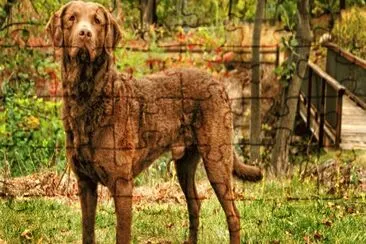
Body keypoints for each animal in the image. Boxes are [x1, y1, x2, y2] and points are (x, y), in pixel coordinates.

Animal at [46, 0, 264, 243]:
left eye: (97, 21)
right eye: (72, 18)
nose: (85, 33)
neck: (89, 98)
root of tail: (218, 84)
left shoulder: (122, 184)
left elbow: (122, 235)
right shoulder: (85, 183)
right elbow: (87, 232)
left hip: (217, 160)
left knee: (233, 215)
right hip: (185, 164)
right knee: (195, 205)